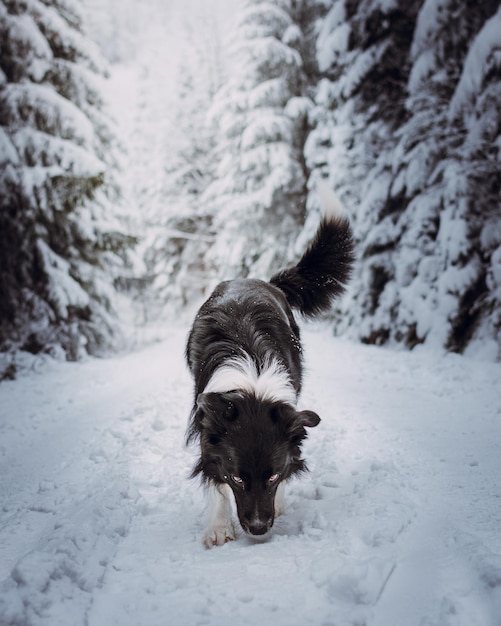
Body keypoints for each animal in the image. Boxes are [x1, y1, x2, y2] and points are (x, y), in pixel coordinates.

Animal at [186, 185, 354, 544]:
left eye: (273, 475)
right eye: (238, 479)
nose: (260, 529)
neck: (252, 381)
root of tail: (261, 280)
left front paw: (280, 502)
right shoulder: (206, 424)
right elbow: (214, 479)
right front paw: (218, 527)